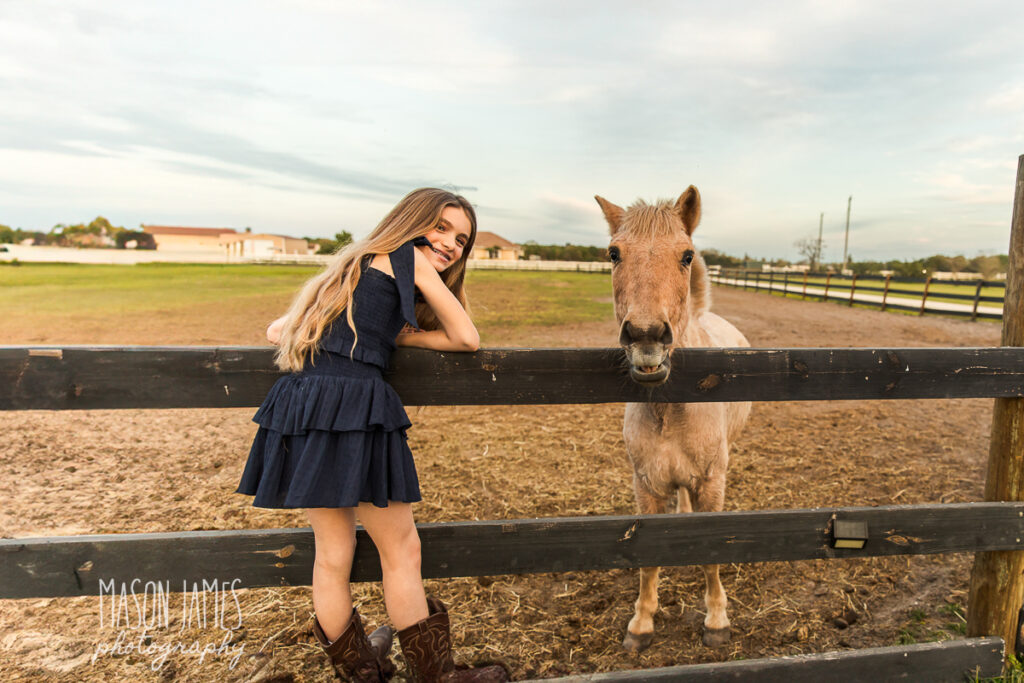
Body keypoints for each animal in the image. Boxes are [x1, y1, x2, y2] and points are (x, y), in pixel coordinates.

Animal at [593, 187, 753, 651]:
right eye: (613, 253)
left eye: (686, 255)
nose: (646, 336)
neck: (671, 410)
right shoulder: (646, 487)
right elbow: (649, 560)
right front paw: (641, 623)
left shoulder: (713, 484)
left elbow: (711, 555)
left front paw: (716, 620)